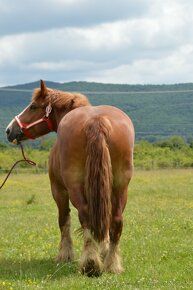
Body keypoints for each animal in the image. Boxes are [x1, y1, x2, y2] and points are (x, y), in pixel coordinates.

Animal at [6, 80, 136, 276]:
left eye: (33, 106)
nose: (9, 130)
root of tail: (97, 121)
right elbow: (102, 220)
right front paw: (103, 249)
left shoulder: (58, 190)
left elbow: (64, 220)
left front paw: (65, 255)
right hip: (121, 185)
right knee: (116, 219)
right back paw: (112, 264)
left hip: (74, 186)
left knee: (85, 215)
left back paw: (90, 263)